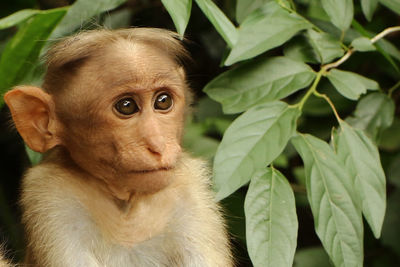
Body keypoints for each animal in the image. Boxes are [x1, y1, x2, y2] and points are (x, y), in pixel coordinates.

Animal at [3, 28, 233, 266]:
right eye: (127, 106)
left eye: (163, 101)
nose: (158, 145)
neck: (125, 206)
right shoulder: (51, 193)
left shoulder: (190, 191)